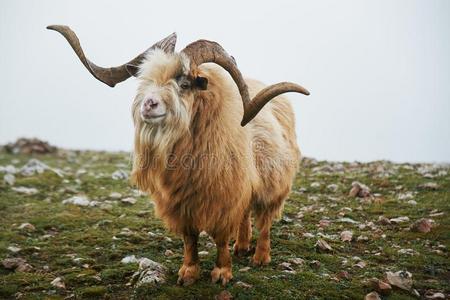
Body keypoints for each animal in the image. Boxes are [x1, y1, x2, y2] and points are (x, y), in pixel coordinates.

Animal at [49, 25, 310, 286]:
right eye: (145, 79)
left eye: (184, 84)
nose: (149, 104)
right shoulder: (182, 202)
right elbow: (189, 238)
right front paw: (188, 273)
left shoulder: (224, 194)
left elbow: (221, 237)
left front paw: (222, 273)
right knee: (246, 214)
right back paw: (242, 247)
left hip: (274, 184)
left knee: (265, 222)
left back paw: (260, 257)